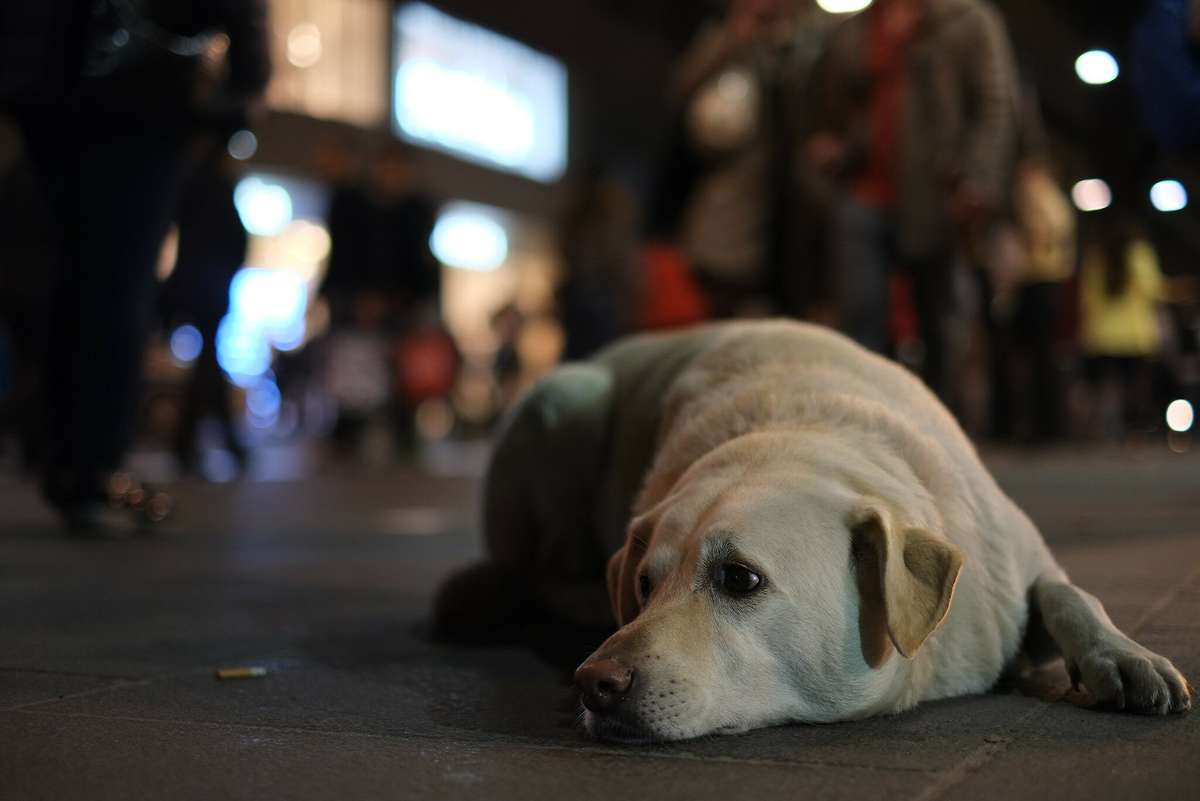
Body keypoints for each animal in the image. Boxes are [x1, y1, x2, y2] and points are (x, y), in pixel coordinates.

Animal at [439, 321, 1190, 743]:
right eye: (644, 585)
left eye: (739, 578)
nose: (594, 681)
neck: (804, 428)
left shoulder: (1014, 559)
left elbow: (1069, 593)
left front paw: (1123, 655)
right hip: (561, 396)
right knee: (529, 569)